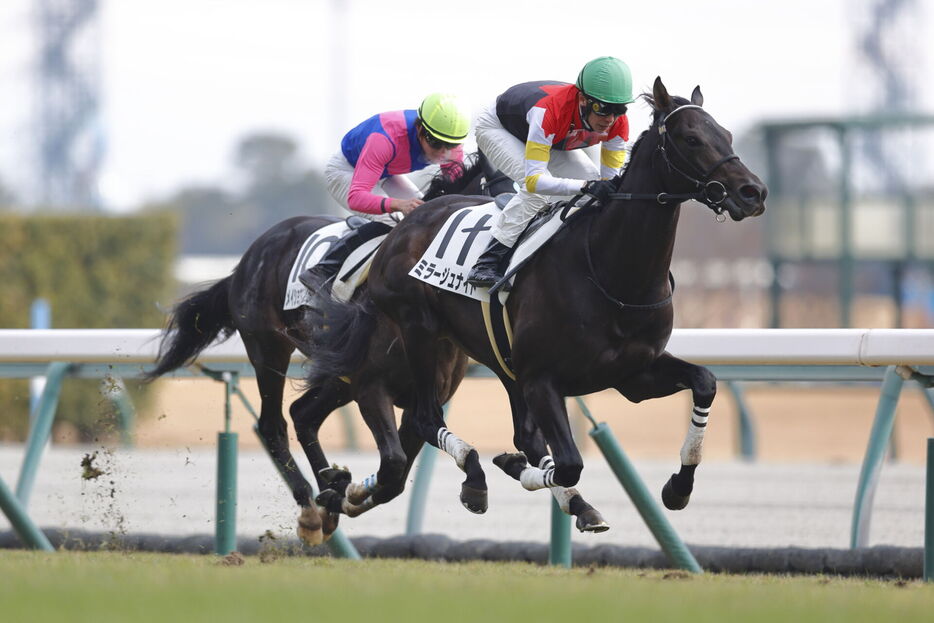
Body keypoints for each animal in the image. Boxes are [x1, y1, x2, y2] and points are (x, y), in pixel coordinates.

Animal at [145, 157, 498, 544]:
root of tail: (245, 262)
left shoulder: (419, 400)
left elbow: (396, 478)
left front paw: (344, 492)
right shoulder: (371, 388)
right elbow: (393, 463)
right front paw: (343, 492)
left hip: (336, 375)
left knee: (303, 414)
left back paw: (328, 493)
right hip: (269, 351)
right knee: (273, 424)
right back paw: (311, 510)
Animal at [314, 78, 768, 520]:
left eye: (726, 135)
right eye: (691, 138)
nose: (753, 192)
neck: (612, 273)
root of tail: (406, 222)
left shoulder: (633, 374)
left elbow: (705, 383)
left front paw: (678, 487)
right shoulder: (541, 379)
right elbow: (568, 463)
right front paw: (513, 467)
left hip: (496, 356)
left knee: (515, 432)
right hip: (419, 328)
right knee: (426, 417)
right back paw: (441, 479)